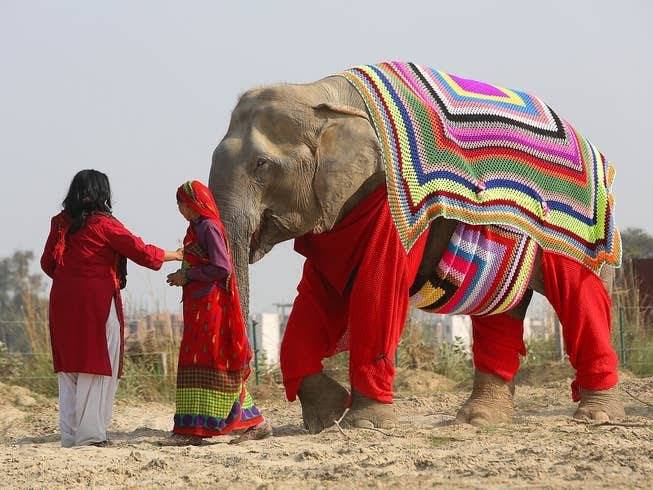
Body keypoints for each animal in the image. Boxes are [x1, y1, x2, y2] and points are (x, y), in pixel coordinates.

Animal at [209, 62, 625, 431]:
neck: (321, 92)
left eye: (262, 165)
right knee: (500, 311)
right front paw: (328, 417)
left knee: (580, 296)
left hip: (583, 228)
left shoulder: (391, 202)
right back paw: (478, 420)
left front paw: (365, 424)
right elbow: (316, 292)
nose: (255, 428)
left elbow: (377, 285)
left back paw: (596, 416)